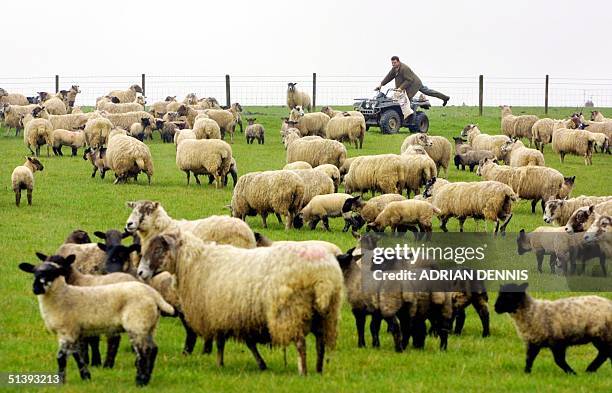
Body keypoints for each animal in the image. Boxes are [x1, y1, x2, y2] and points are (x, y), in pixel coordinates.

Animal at [19, 254, 172, 386]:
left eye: (52, 273)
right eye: (34, 273)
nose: (36, 288)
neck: (63, 296)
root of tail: (153, 294)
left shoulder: (66, 331)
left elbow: (61, 358)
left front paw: (61, 382)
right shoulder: (75, 332)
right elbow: (78, 355)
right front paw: (86, 376)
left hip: (137, 324)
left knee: (143, 352)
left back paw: (140, 381)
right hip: (149, 325)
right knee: (153, 349)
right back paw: (147, 378)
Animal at [136, 230, 342, 374]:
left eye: (158, 249)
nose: (140, 272)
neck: (195, 263)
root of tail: (322, 275)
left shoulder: (219, 314)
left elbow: (221, 343)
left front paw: (219, 364)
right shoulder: (239, 316)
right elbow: (249, 343)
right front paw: (261, 364)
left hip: (292, 311)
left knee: (301, 344)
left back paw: (303, 371)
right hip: (325, 314)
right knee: (321, 343)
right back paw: (318, 370)